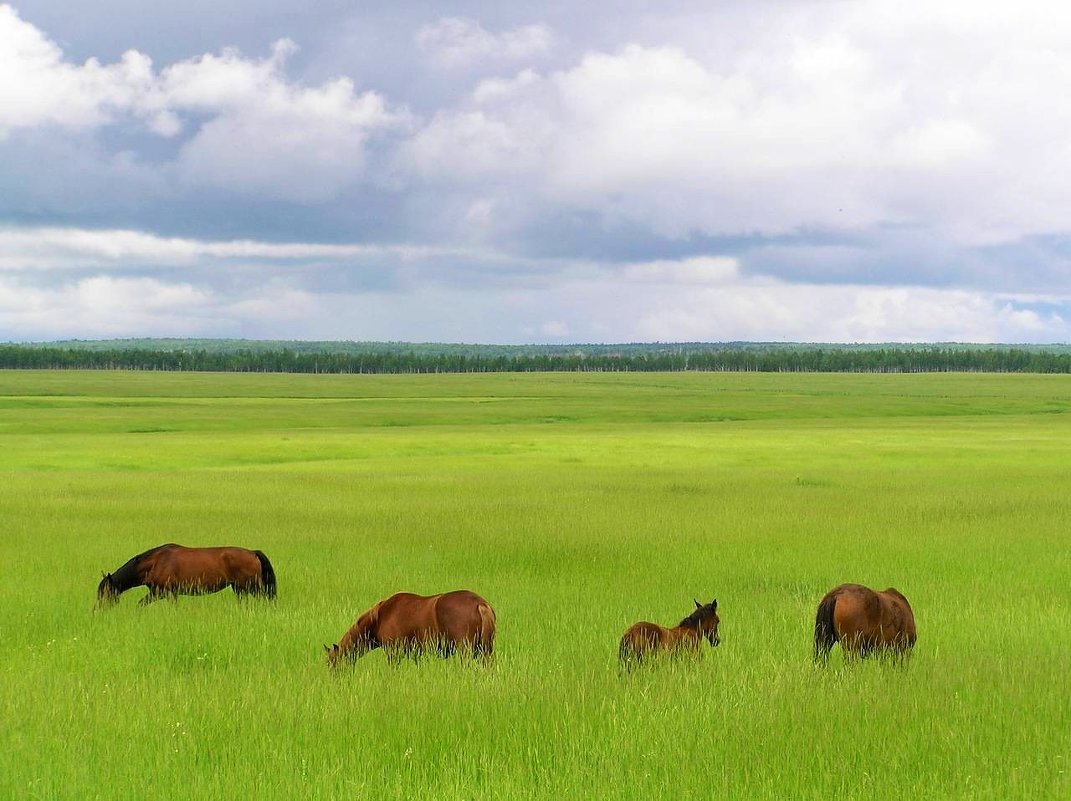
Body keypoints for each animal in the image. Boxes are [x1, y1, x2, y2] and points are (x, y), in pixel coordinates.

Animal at [95, 543, 276, 608]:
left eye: (105, 592)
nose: (98, 610)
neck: (155, 562)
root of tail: (252, 552)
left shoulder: (163, 592)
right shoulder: (164, 593)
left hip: (252, 586)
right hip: (239, 588)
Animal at [323, 591, 494, 668]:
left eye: (333, 662)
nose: (335, 680)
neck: (379, 618)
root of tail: (480, 604)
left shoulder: (393, 652)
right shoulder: (417, 653)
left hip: (465, 650)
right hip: (485, 651)